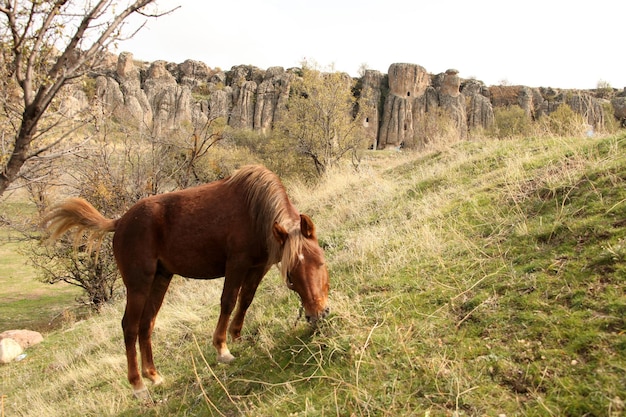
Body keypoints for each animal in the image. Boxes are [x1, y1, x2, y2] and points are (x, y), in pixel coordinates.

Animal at [42, 164, 330, 394]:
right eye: (291, 276)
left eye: (321, 262)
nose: (317, 315)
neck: (254, 211)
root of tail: (121, 221)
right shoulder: (236, 265)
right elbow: (228, 302)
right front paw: (222, 349)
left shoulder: (258, 267)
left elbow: (246, 300)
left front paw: (237, 336)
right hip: (138, 285)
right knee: (129, 326)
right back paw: (137, 384)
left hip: (160, 280)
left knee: (146, 324)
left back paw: (153, 375)